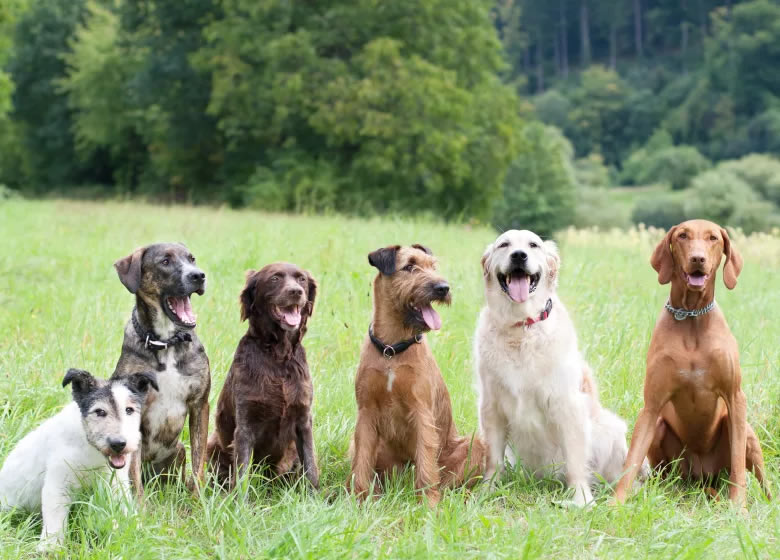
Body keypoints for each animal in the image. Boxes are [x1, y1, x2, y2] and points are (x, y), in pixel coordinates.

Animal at [0, 370, 157, 548]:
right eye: (99, 411)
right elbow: (55, 519)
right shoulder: (58, 484)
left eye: (129, 410)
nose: (118, 444)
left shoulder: (117, 483)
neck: (89, 447)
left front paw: (135, 530)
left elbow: (124, 507)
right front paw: (50, 546)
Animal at [111, 242, 212, 494]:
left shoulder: (200, 404)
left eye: (192, 259)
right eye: (165, 262)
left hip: (178, 452)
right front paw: (139, 505)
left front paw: (199, 499)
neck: (166, 343)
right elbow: (134, 477)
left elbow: (199, 462)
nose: (198, 275)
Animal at [348, 243, 484, 506]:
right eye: (410, 266)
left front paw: (428, 504)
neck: (392, 349)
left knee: (450, 481)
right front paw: (359, 499)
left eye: (433, 266)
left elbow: (426, 463)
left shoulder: (421, 410)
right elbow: (361, 462)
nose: (443, 288)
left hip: (476, 445)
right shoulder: (366, 413)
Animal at [476, 230, 640, 506]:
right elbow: (493, 459)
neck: (522, 327)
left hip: (611, 428)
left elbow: (575, 461)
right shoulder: (491, 405)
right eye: (504, 244)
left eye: (533, 245)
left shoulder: (568, 405)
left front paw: (581, 498)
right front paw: (488, 490)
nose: (519, 255)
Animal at [616, 221, 768, 506]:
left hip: (745, 433)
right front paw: (615, 504)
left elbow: (738, 467)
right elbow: (631, 462)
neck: (691, 316)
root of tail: (702, 478)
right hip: (663, 435)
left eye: (713, 238)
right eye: (683, 235)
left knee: (760, 480)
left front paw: (738, 508)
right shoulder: (651, 406)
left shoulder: (735, 398)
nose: (698, 259)